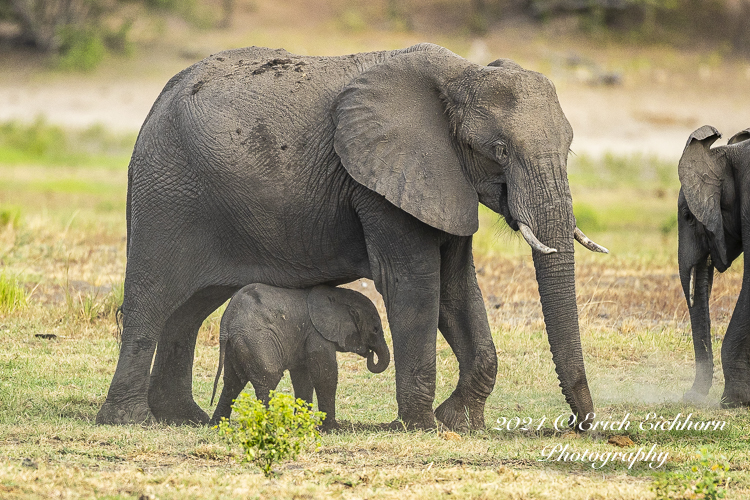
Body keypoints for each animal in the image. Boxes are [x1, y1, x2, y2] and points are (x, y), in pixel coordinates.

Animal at [209, 284, 390, 428]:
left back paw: (216, 425)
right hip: (256, 340)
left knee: (232, 383)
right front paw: (331, 428)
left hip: (236, 344)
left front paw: (302, 424)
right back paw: (268, 425)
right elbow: (325, 374)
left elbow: (303, 379)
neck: (339, 296)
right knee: (268, 379)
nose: (369, 353)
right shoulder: (317, 334)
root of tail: (228, 319)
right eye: (375, 329)